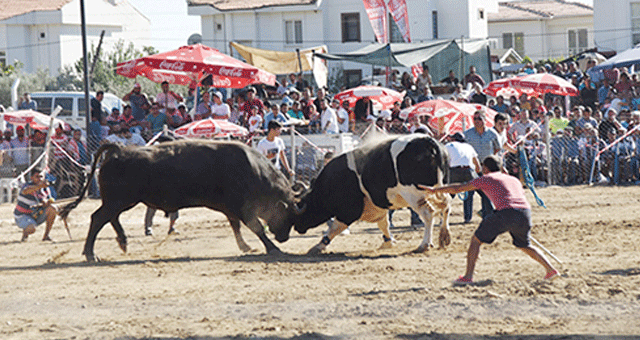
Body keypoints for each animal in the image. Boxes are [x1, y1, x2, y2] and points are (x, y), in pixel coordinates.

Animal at [58, 139, 304, 262]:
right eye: (289, 214)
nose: (284, 237)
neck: (252, 169)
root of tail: (118, 150)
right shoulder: (242, 207)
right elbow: (256, 227)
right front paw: (272, 248)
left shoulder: (230, 208)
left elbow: (236, 226)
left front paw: (245, 246)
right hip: (119, 200)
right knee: (98, 218)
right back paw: (91, 254)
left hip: (120, 201)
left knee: (110, 218)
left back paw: (122, 242)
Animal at [272, 134, 452, 254]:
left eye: (301, 209)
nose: (297, 228)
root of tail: (427, 141)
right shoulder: (378, 207)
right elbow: (384, 224)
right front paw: (388, 242)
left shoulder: (349, 211)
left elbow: (335, 228)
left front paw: (319, 246)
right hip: (439, 189)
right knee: (446, 206)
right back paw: (444, 236)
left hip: (415, 195)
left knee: (428, 214)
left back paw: (424, 244)